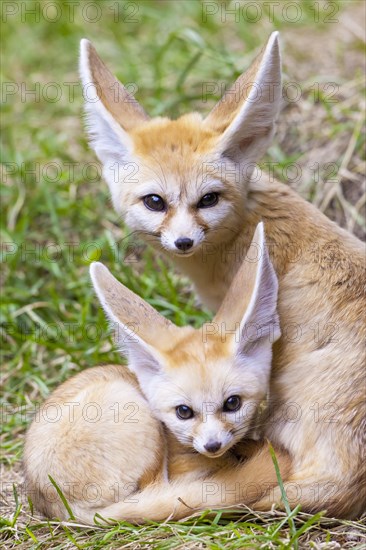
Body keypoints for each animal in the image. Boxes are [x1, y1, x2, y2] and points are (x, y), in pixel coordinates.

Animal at [24, 226, 290, 524]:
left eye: (232, 403)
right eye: (183, 412)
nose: (212, 445)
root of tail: (65, 508)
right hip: (133, 409)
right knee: (162, 492)